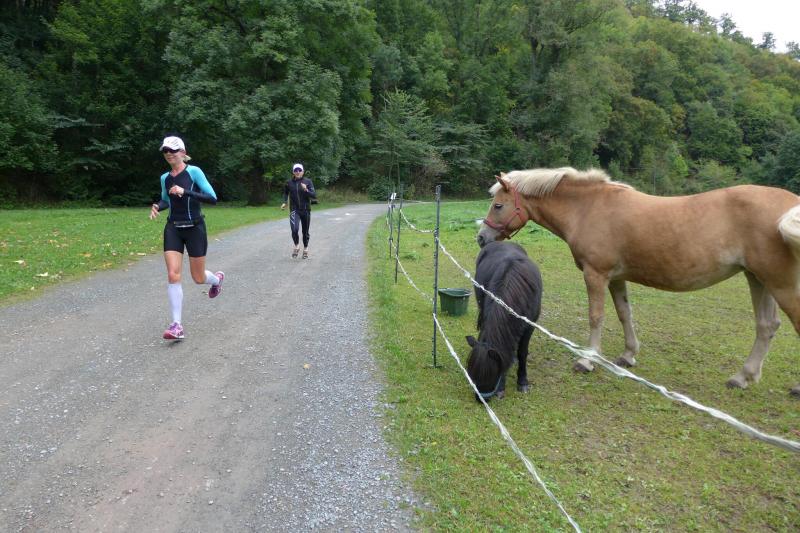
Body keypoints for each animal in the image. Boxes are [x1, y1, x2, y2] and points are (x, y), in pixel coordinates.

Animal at [466, 241, 543, 401]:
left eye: (490, 375)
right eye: (472, 374)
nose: (481, 400)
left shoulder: (530, 326)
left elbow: (522, 352)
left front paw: (522, 382)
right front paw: (501, 387)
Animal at [476, 167, 800, 396]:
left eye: (498, 206)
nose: (482, 238)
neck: (588, 207)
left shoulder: (596, 274)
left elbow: (596, 316)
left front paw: (587, 360)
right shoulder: (616, 278)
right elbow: (624, 314)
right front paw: (628, 356)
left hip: (780, 284)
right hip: (758, 278)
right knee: (766, 327)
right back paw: (743, 377)